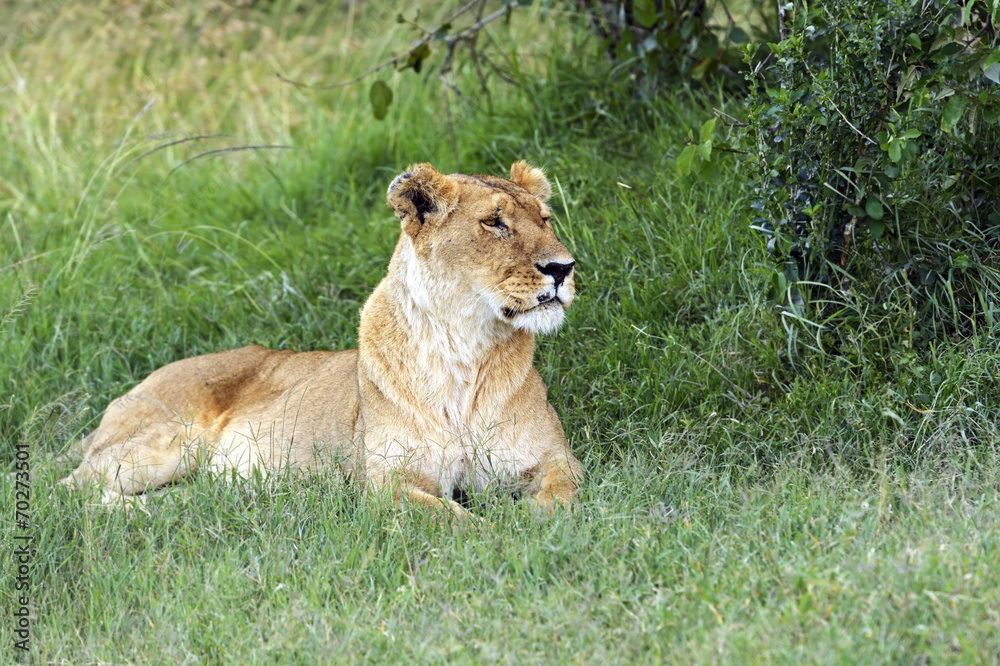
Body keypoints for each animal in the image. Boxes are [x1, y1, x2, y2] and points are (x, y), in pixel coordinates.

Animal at [61, 161, 582, 518]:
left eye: (546, 219)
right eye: (494, 223)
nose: (563, 268)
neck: (463, 348)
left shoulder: (554, 459)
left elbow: (562, 497)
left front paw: (528, 524)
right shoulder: (388, 482)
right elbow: (459, 522)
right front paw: (499, 532)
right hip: (170, 440)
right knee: (69, 489)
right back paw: (141, 512)